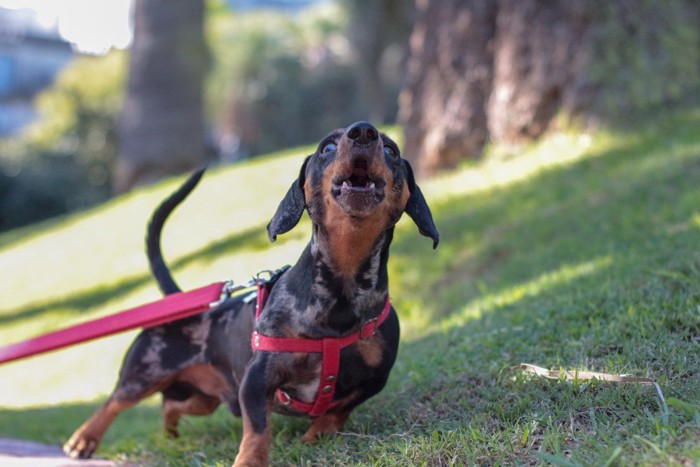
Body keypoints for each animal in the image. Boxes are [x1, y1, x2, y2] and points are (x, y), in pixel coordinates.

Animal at [64, 122, 438, 466]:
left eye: (391, 150)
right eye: (327, 148)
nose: (363, 131)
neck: (341, 291)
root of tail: (180, 299)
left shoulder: (374, 378)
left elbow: (338, 409)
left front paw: (317, 435)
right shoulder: (255, 381)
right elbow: (258, 430)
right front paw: (250, 460)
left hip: (205, 399)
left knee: (170, 406)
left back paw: (169, 437)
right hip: (144, 374)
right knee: (115, 401)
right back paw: (83, 439)